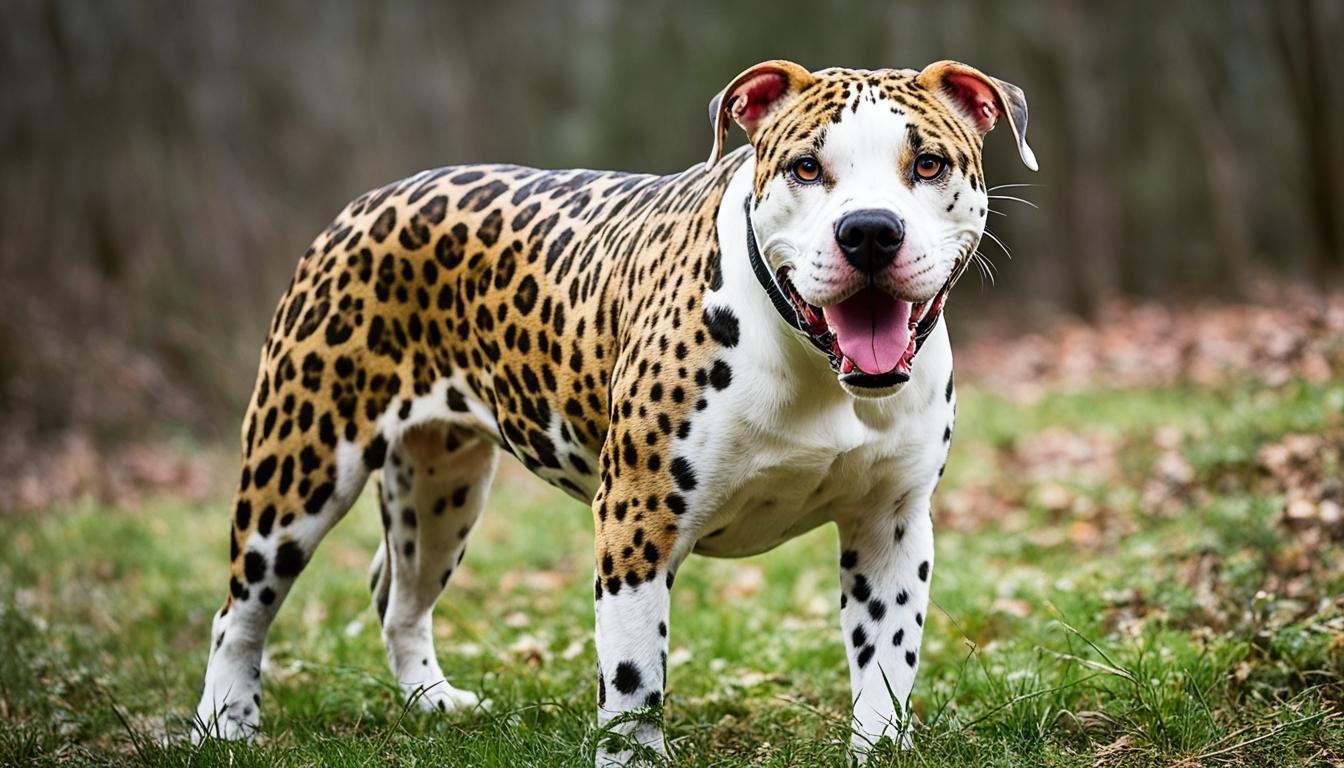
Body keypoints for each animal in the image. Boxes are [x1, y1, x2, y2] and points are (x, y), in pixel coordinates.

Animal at [194, 58, 1037, 763]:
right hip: (295, 471)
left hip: (441, 492)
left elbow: (885, 667)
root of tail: (368, 201)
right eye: (807, 167)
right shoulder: (638, 522)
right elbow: (635, 681)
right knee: (239, 614)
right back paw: (224, 726)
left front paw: (878, 747)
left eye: (927, 164)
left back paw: (432, 701)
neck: (817, 368)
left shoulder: (891, 527)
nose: (868, 231)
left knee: (396, 595)